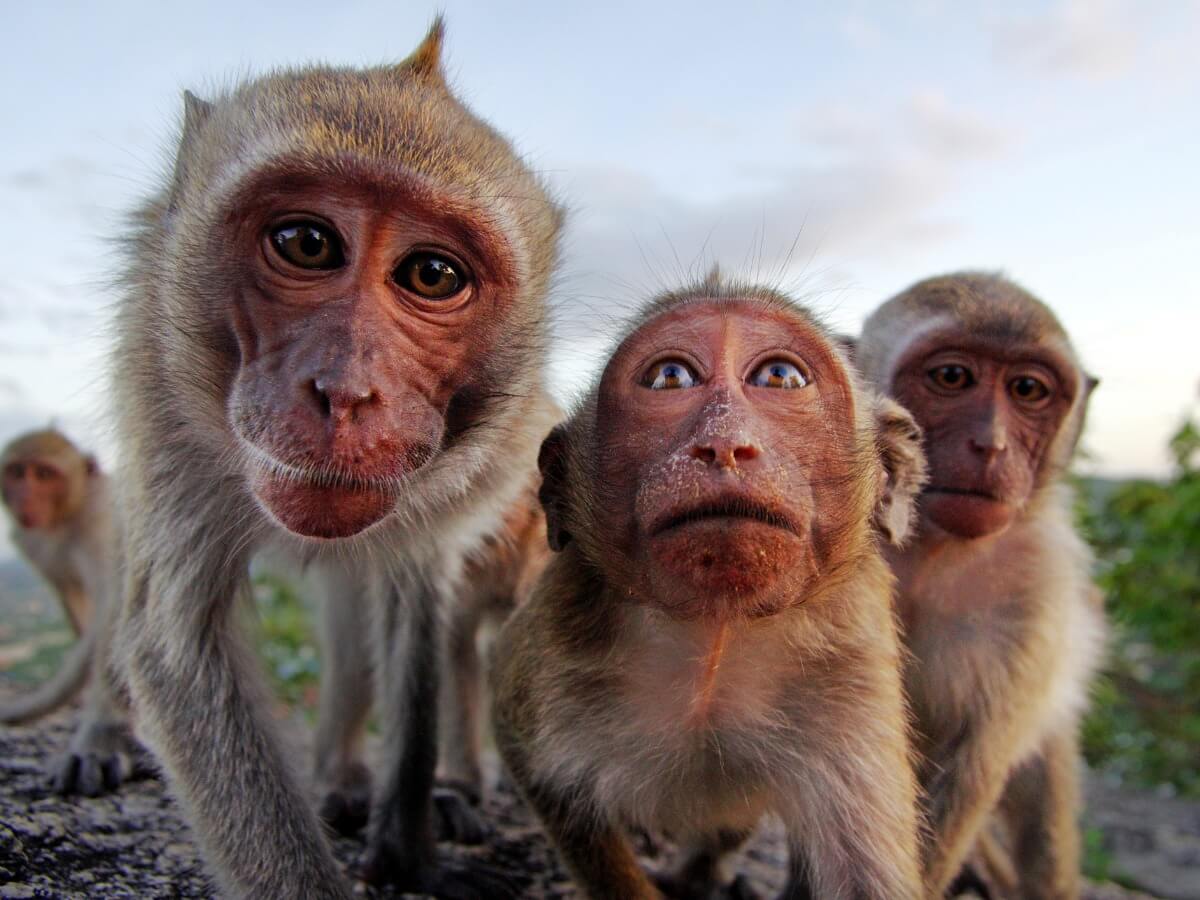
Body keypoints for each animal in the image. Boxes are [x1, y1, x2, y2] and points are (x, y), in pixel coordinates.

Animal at [0, 428, 138, 796]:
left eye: (44, 474)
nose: (26, 498)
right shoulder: (29, 541)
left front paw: (101, 736)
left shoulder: (98, 522)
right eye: (17, 472)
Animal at [109, 19, 562, 899]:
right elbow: (177, 647)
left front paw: (410, 845)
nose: (347, 393)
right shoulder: (161, 395)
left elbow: (414, 600)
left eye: (432, 274)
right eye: (306, 244)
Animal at [490, 274, 931, 900]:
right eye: (670, 377)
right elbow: (546, 780)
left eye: (780, 376)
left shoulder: (852, 660)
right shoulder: (556, 640)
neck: (715, 633)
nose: (724, 445)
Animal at [854, 272, 1106, 898]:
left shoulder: (1038, 591)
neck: (933, 549)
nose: (991, 445)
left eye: (1028, 390)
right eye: (952, 378)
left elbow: (970, 770)